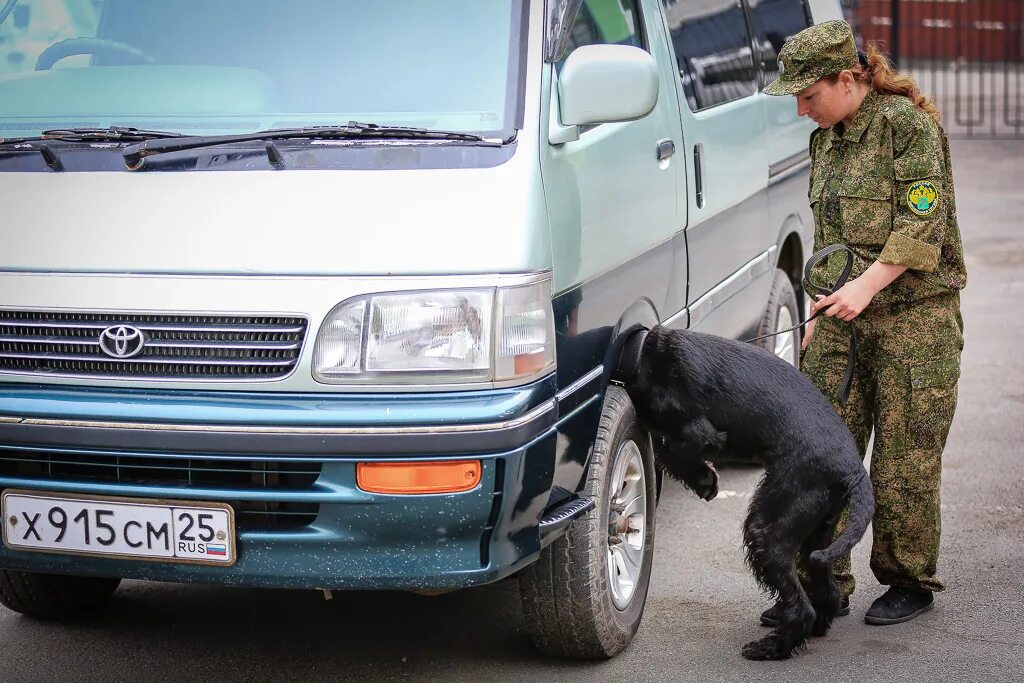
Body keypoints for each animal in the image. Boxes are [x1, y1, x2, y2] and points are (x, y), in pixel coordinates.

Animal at [614, 327, 872, 663]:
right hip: (817, 536)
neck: (646, 353)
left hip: (768, 530)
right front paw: (705, 480)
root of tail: (852, 469)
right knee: (826, 592)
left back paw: (770, 648)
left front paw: (705, 480)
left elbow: (671, 452)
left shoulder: (697, 431)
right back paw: (812, 632)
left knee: (801, 607)